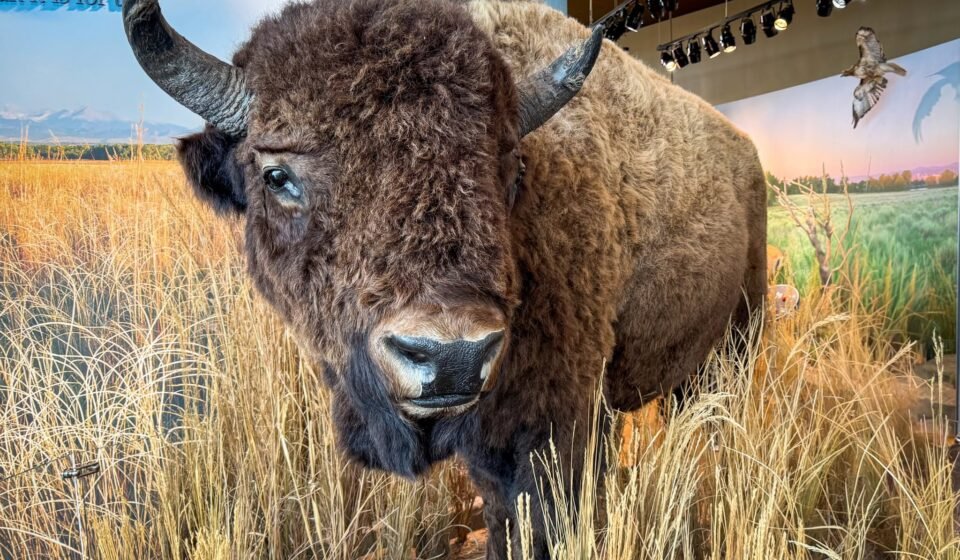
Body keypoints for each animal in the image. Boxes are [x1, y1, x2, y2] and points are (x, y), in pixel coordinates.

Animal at [122, 0, 767, 557]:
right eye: (277, 175)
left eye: (512, 167)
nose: (452, 356)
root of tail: (746, 155)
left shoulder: (558, 427)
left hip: (737, 341)